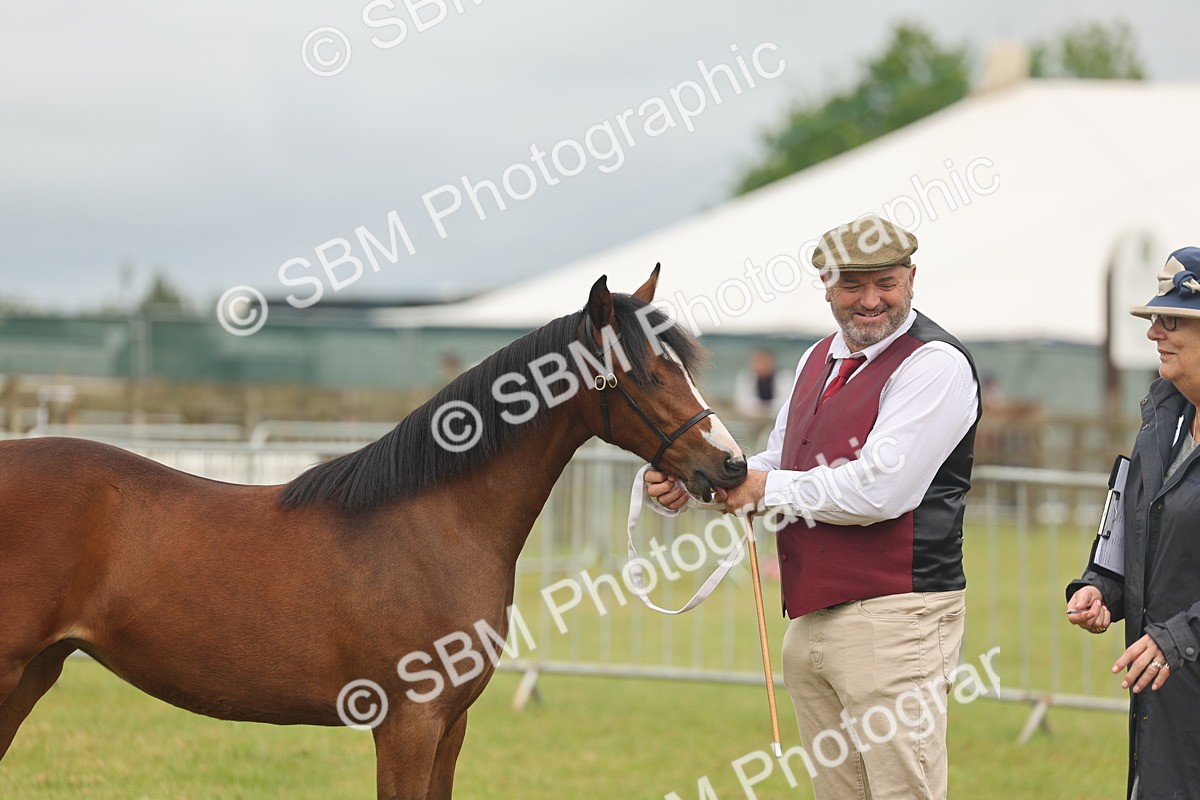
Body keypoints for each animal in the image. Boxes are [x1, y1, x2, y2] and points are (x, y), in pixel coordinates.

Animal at [0, 267, 748, 799]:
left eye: (681, 366)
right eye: (642, 373)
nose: (732, 464)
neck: (436, 523)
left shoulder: (450, 727)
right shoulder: (407, 726)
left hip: (36, 671)